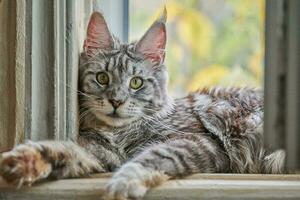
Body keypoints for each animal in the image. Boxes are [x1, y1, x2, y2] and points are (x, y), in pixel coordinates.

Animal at [0, 8, 284, 200]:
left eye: (136, 83)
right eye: (102, 78)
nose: (116, 101)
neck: (120, 134)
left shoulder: (197, 141)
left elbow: (152, 157)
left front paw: (122, 184)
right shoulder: (101, 151)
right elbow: (64, 149)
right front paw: (24, 161)